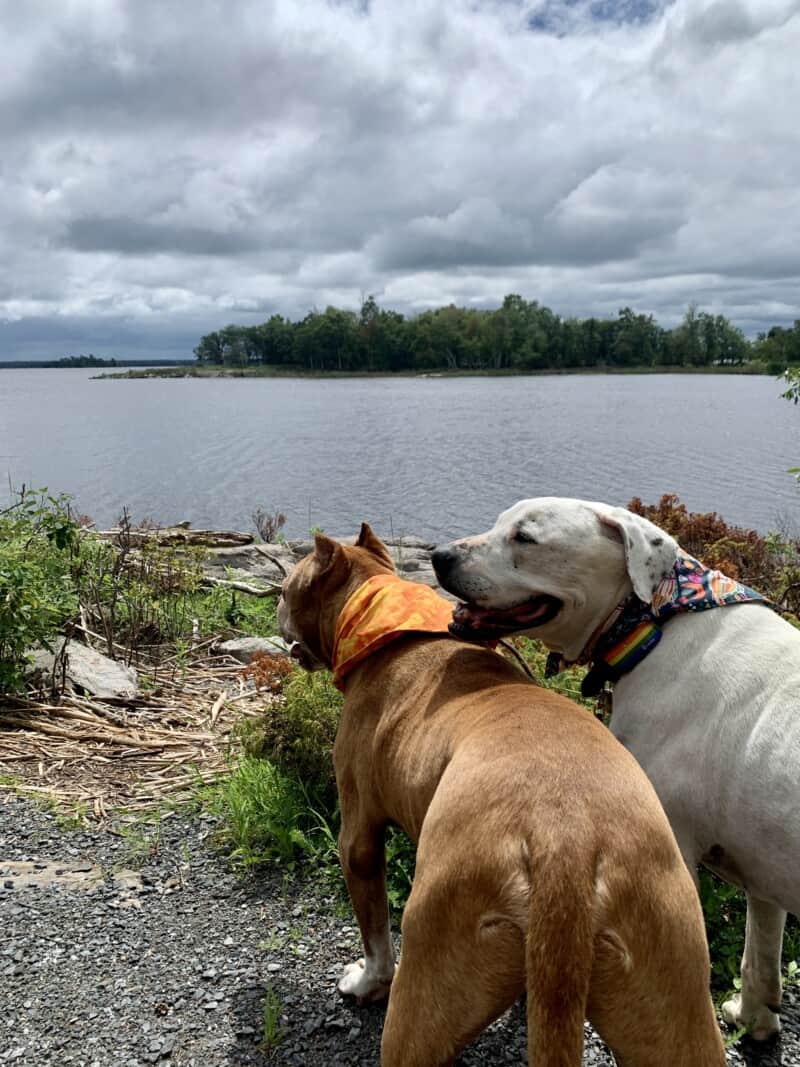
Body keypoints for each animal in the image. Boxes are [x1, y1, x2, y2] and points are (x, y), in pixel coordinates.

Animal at [275, 527, 725, 1067]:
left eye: (286, 591)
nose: (276, 605)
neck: (390, 623)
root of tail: (565, 843)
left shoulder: (358, 836)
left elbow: (375, 932)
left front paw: (365, 983)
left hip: (429, 979)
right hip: (671, 982)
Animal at [433, 499, 800, 1041]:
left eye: (526, 538)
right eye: (500, 522)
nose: (439, 556)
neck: (654, 621)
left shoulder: (673, 853)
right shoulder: (763, 874)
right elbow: (760, 954)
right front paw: (752, 1020)